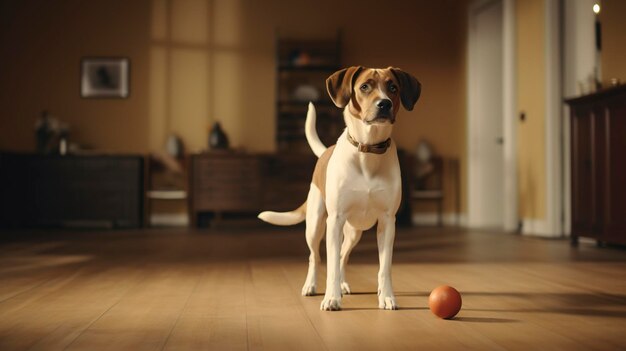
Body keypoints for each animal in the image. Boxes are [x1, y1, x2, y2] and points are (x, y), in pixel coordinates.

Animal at [258, 66, 420, 310]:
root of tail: (325, 151)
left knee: (344, 255)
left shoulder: (387, 222)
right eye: (365, 86)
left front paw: (386, 296)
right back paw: (311, 286)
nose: (384, 104)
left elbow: (384, 267)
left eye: (393, 87)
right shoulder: (334, 220)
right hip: (315, 225)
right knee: (315, 256)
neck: (367, 151)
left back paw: (344, 285)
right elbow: (331, 264)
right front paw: (331, 298)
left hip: (353, 232)